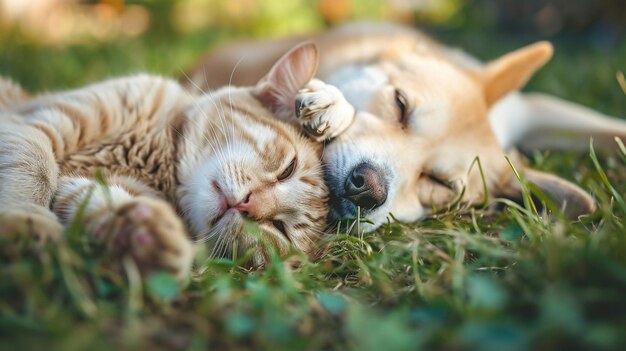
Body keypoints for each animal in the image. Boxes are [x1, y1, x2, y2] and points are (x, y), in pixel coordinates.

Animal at [0, 44, 354, 280]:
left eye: (279, 228)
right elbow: (35, 168)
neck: (157, 159)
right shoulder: (29, 127)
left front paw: (148, 237)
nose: (248, 206)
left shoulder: (80, 184)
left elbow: (93, 199)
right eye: (287, 169)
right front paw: (24, 222)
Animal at [182, 21, 624, 231]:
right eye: (400, 104)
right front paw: (333, 106)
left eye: (439, 183)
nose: (367, 188)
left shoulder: (530, 108)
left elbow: (612, 127)